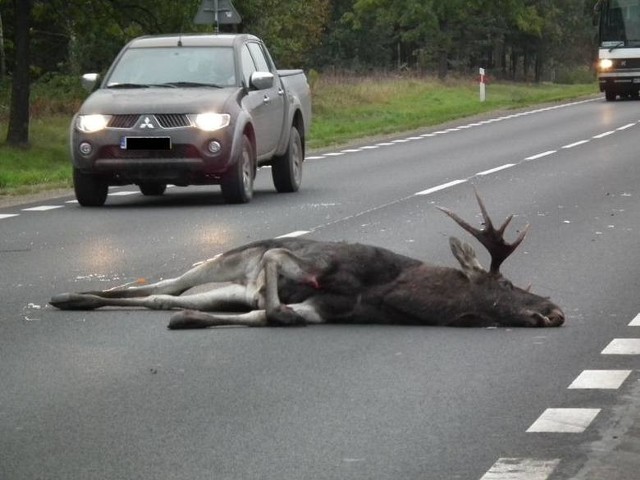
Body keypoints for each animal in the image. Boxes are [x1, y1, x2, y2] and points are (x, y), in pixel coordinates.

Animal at [50, 191, 564, 330]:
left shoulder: (324, 311)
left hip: (226, 288)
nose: (554, 309)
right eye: (506, 285)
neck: (395, 295)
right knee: (159, 285)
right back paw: (69, 294)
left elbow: (273, 314)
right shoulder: (307, 263)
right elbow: (277, 275)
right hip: (225, 260)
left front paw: (190, 321)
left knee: (161, 297)